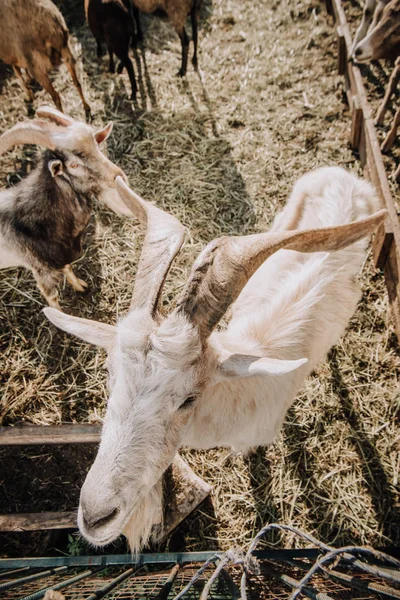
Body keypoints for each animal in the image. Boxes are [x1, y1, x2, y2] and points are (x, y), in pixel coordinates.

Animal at [0, 105, 128, 308]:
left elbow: (68, 267)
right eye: (74, 165)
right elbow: (52, 298)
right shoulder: (40, 270)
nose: (119, 176)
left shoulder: (63, 254)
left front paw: (80, 286)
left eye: (97, 146)